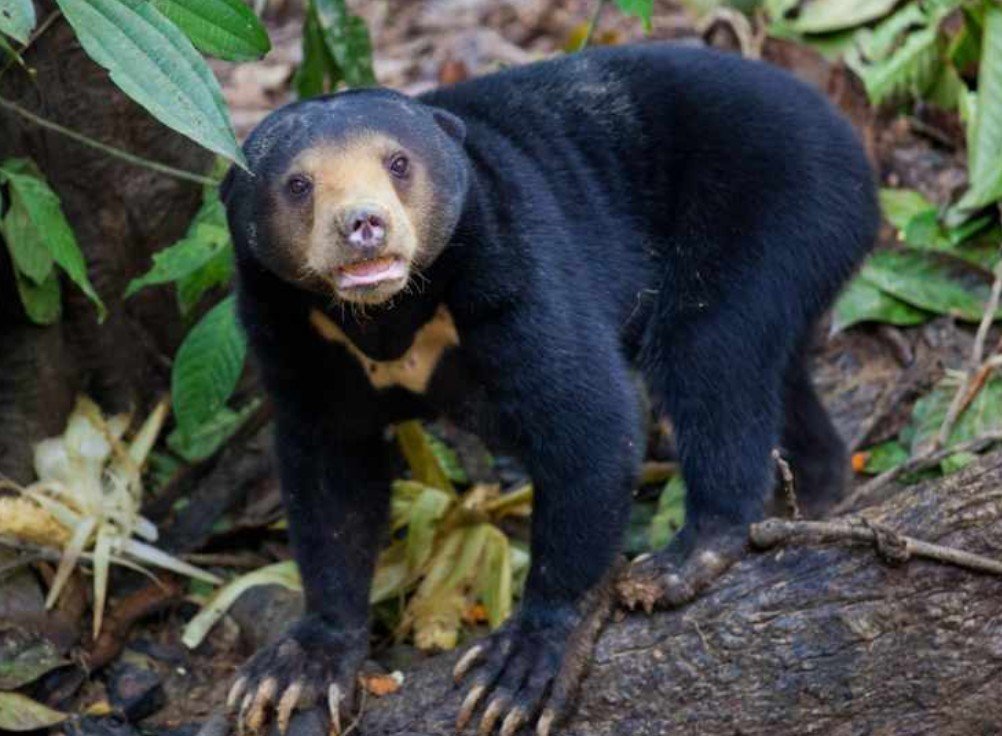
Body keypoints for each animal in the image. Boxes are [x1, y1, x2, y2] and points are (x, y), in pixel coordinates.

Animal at [218, 43, 878, 736]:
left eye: (398, 164)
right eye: (299, 185)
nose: (364, 225)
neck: (386, 315)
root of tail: (845, 133)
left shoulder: (510, 263)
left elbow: (589, 422)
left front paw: (518, 666)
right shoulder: (290, 329)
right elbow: (329, 472)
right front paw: (299, 666)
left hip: (776, 203)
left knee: (710, 348)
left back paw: (687, 555)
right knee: (774, 368)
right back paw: (819, 485)